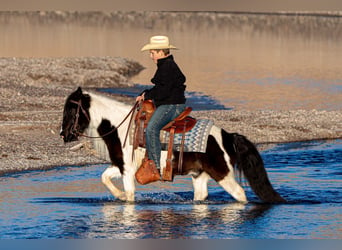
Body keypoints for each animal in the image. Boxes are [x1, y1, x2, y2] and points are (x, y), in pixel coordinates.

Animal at [60, 87, 284, 203]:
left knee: (240, 195)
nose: (64, 134)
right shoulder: (120, 166)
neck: (120, 128)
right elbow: (104, 177)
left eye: (71, 109)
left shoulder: (128, 171)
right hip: (199, 176)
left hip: (223, 175)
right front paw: (119, 196)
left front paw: (124, 197)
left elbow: (130, 197)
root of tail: (228, 136)